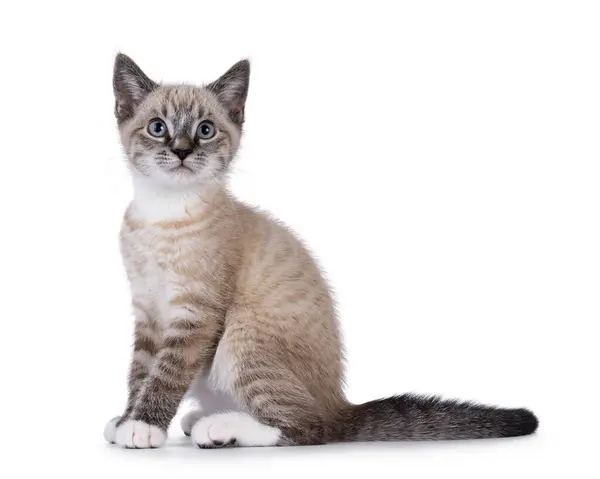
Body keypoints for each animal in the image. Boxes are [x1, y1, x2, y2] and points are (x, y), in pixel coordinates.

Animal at [104, 54, 540, 448]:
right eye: (158, 128)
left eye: (205, 130)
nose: (181, 150)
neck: (163, 213)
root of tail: (340, 404)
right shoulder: (148, 313)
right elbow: (140, 372)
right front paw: (126, 419)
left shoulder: (194, 314)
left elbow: (166, 374)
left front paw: (143, 427)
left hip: (242, 335)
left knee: (308, 426)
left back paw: (221, 428)